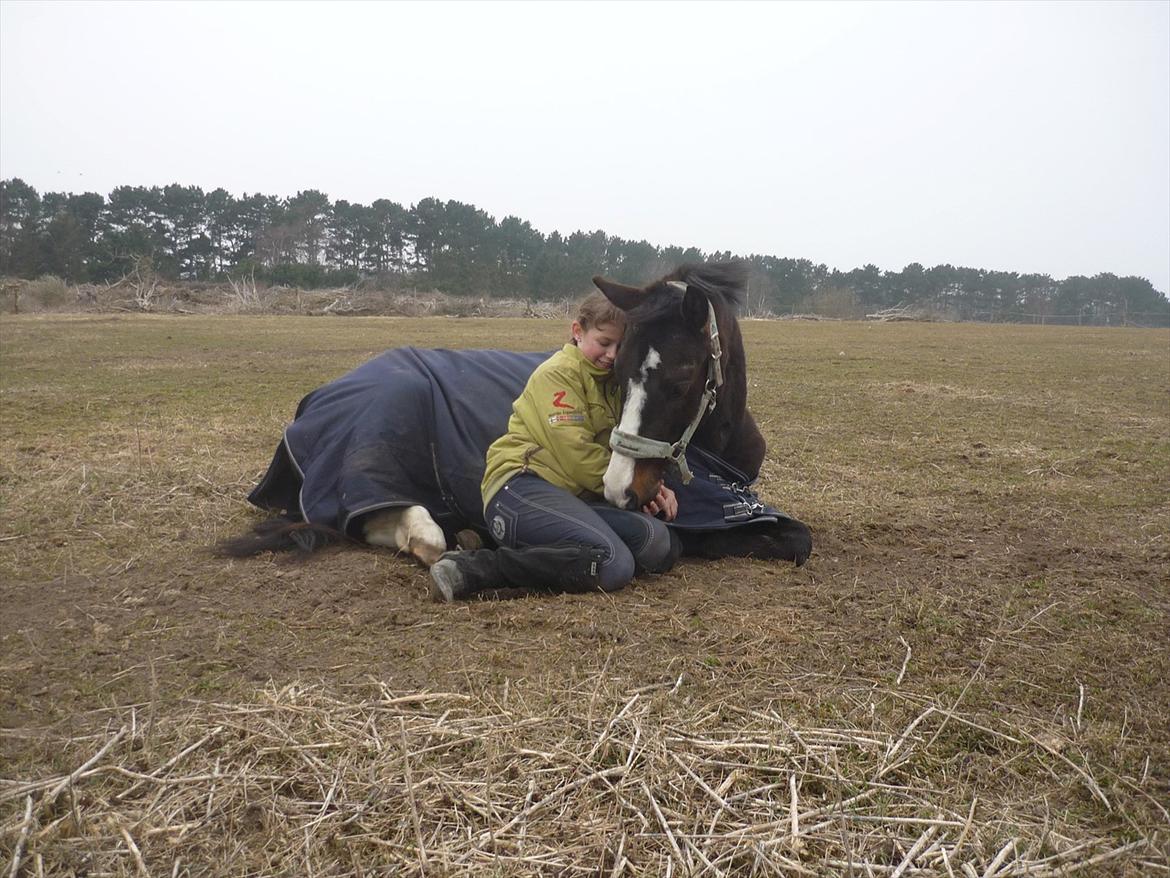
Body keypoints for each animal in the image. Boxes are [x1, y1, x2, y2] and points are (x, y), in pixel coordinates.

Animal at [217, 261, 804, 566]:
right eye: (617, 374)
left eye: (680, 380)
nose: (619, 490)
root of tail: (316, 399)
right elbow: (778, 538)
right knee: (380, 519)